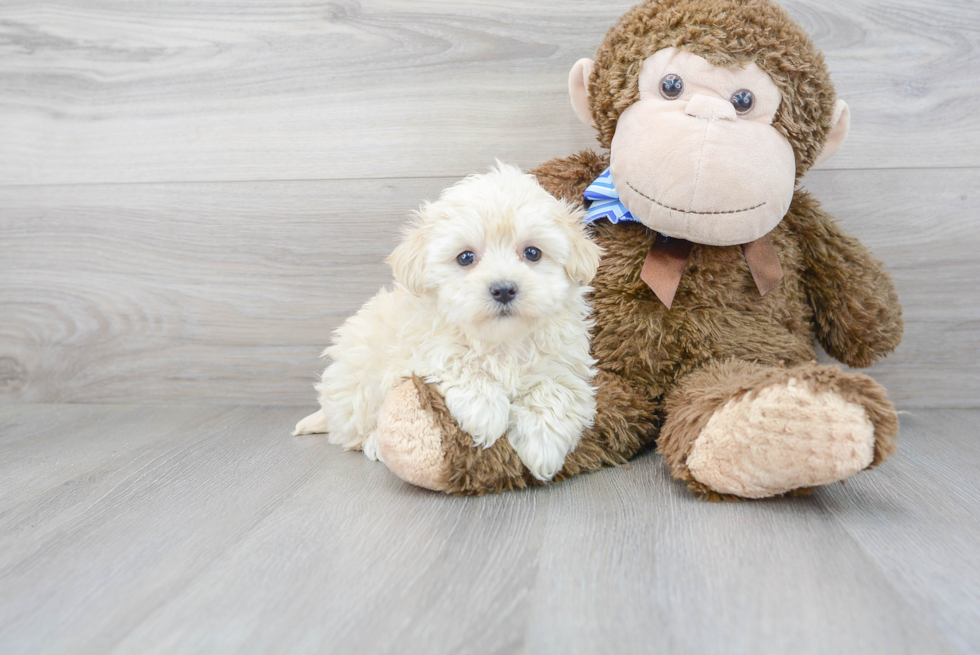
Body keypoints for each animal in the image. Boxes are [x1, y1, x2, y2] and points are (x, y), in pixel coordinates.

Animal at [290, 164, 600, 482]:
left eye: (532, 253)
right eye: (465, 257)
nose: (503, 289)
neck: (501, 341)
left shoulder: (565, 364)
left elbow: (557, 391)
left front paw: (543, 446)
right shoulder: (421, 349)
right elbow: (458, 361)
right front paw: (486, 413)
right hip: (357, 383)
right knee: (353, 432)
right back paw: (374, 443)